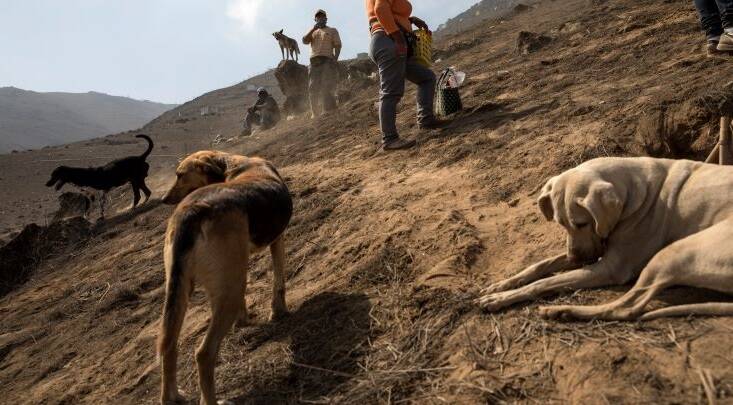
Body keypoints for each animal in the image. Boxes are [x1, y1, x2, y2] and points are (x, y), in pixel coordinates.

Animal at [157, 150, 292, 404]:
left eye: (180, 175)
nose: (163, 199)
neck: (233, 164)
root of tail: (191, 213)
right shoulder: (277, 240)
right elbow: (279, 281)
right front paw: (278, 311)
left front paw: (244, 320)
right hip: (231, 288)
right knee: (203, 354)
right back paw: (212, 399)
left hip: (181, 289)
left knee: (169, 348)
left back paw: (172, 396)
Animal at [478, 156, 732, 320]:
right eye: (561, 223)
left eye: (582, 223)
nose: (575, 259)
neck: (638, 190)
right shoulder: (592, 250)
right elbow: (540, 265)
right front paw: (503, 284)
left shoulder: (609, 267)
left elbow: (545, 282)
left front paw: (501, 297)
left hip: (673, 253)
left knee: (627, 308)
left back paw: (563, 311)